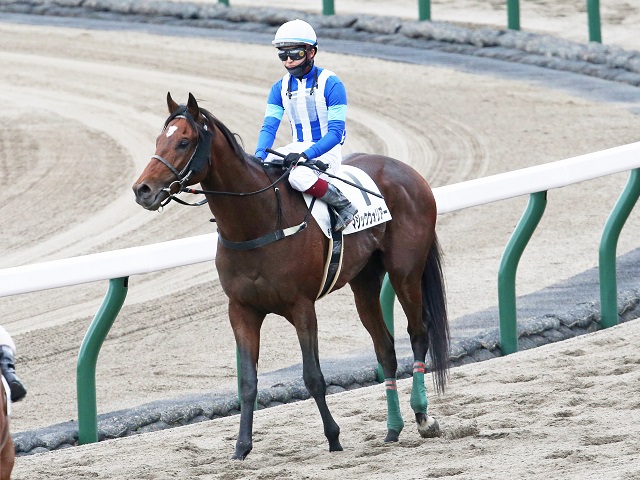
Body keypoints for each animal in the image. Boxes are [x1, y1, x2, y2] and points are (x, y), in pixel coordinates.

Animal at [133, 92, 450, 460]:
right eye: (159, 139)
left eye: (184, 141)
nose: (142, 190)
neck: (257, 221)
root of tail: (409, 172)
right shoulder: (241, 310)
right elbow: (247, 382)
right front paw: (241, 448)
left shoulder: (302, 306)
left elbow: (313, 376)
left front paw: (333, 437)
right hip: (364, 281)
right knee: (384, 348)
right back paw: (393, 428)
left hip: (405, 271)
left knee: (418, 332)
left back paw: (423, 417)